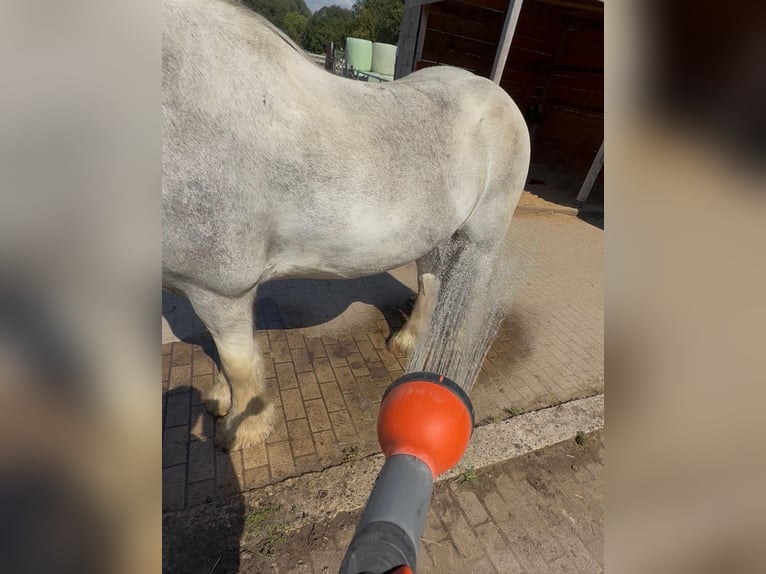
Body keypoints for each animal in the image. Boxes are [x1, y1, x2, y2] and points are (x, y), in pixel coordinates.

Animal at [162, 0, 531, 450]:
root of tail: (497, 95)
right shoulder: (212, 291)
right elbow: (222, 353)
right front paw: (219, 399)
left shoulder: (220, 289)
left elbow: (237, 363)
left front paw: (242, 429)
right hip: (433, 235)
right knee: (431, 282)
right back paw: (408, 341)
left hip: (483, 242)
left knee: (468, 294)